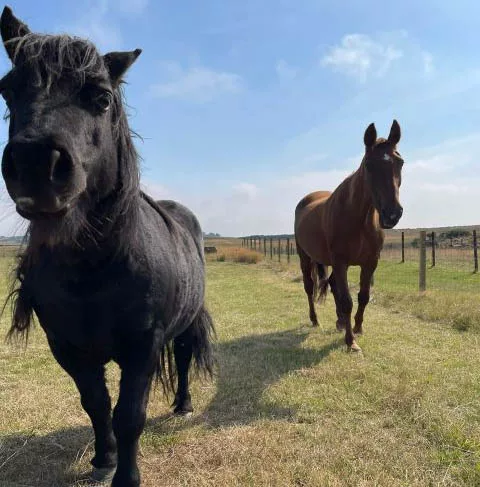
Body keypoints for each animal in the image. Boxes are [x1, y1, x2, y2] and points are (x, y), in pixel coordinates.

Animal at [0, 7, 214, 487]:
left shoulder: (142, 347)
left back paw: (183, 404)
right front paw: (104, 458)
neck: (93, 270)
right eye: (7, 89)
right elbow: (96, 405)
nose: (36, 165)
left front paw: (127, 476)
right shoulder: (67, 348)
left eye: (100, 98)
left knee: (184, 358)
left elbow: (129, 415)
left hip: (183, 328)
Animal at [294, 120, 404, 352]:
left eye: (400, 162)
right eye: (369, 165)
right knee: (309, 287)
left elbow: (363, 296)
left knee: (333, 285)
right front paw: (351, 341)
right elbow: (347, 301)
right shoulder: (341, 262)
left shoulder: (370, 263)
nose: (392, 213)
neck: (357, 219)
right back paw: (315, 320)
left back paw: (340, 321)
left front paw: (357, 328)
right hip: (305, 258)